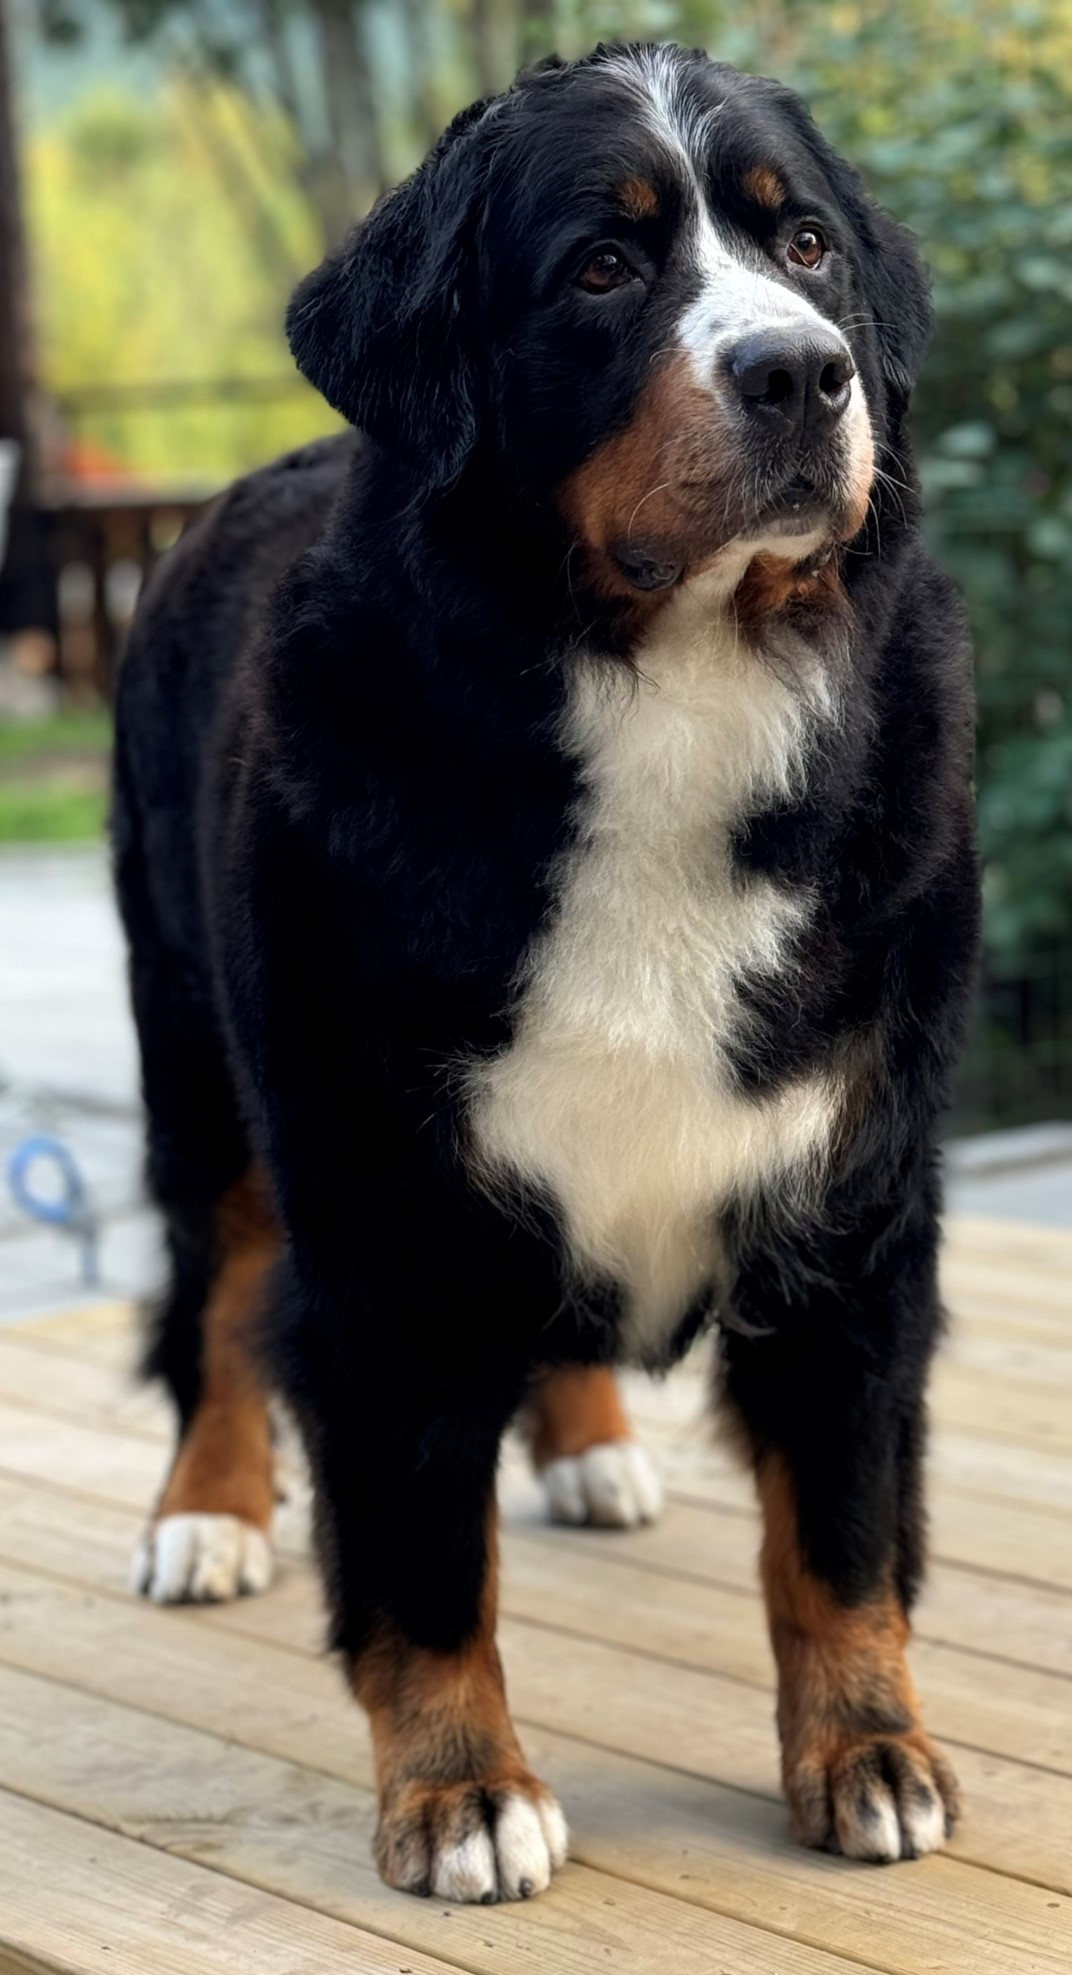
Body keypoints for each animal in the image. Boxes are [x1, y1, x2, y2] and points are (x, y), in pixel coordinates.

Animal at [113, 42, 979, 1904]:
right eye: (601, 267)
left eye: (803, 244)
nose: (802, 375)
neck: (669, 692)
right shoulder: (378, 1215)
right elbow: (426, 1557)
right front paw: (460, 1790)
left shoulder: (856, 1192)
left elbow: (842, 1530)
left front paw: (868, 1752)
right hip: (198, 1057)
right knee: (214, 1287)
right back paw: (205, 1511)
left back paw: (588, 1446)